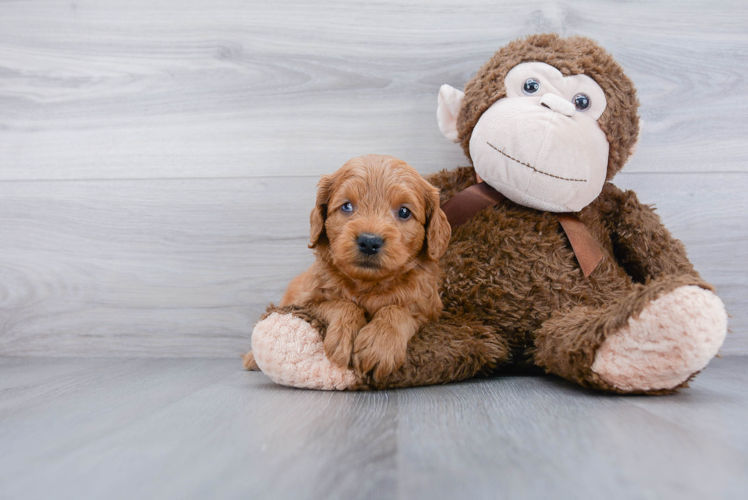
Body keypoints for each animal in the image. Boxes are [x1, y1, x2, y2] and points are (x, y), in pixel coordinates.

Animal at [245, 154, 450, 380]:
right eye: (346, 207)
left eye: (404, 211)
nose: (369, 241)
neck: (368, 284)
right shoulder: (306, 302)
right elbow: (342, 304)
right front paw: (345, 336)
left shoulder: (428, 308)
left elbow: (398, 309)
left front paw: (379, 345)